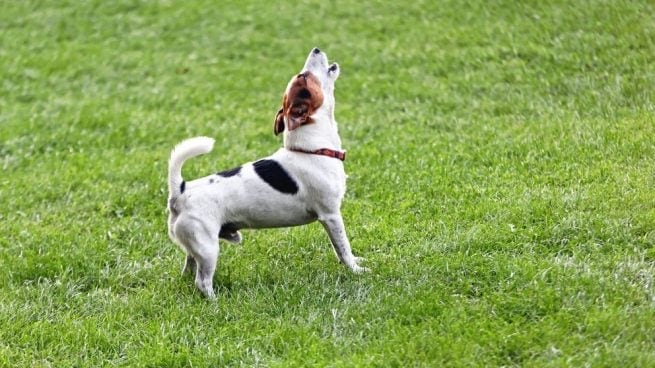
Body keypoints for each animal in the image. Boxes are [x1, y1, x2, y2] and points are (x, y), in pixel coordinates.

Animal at [167, 47, 368, 298]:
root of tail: (180, 191)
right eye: (304, 77)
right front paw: (355, 269)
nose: (316, 49)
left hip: (195, 245)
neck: (311, 149)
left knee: (188, 267)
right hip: (208, 247)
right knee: (202, 281)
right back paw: (215, 301)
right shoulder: (330, 215)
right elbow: (342, 247)